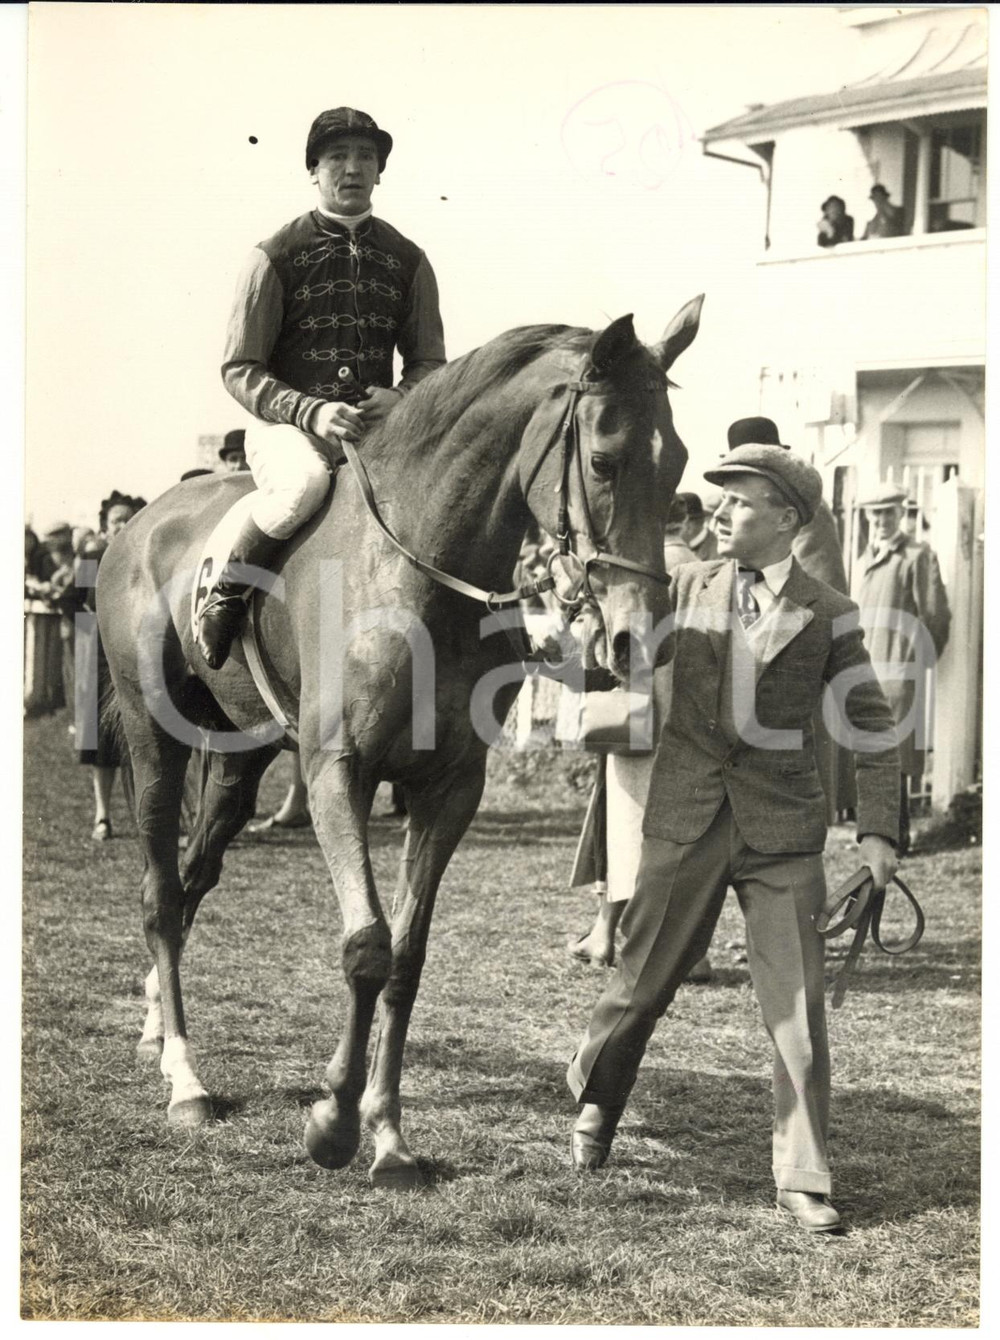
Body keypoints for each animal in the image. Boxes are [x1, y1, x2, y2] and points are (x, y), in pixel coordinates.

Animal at [97, 299, 702, 1188]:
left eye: (680, 463)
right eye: (603, 459)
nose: (638, 639)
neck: (419, 574)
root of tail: (137, 526)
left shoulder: (449, 789)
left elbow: (408, 959)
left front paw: (387, 1133)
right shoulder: (337, 776)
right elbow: (367, 948)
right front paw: (334, 1124)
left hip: (240, 758)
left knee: (191, 878)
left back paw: (152, 1019)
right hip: (154, 745)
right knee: (158, 894)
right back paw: (184, 1077)